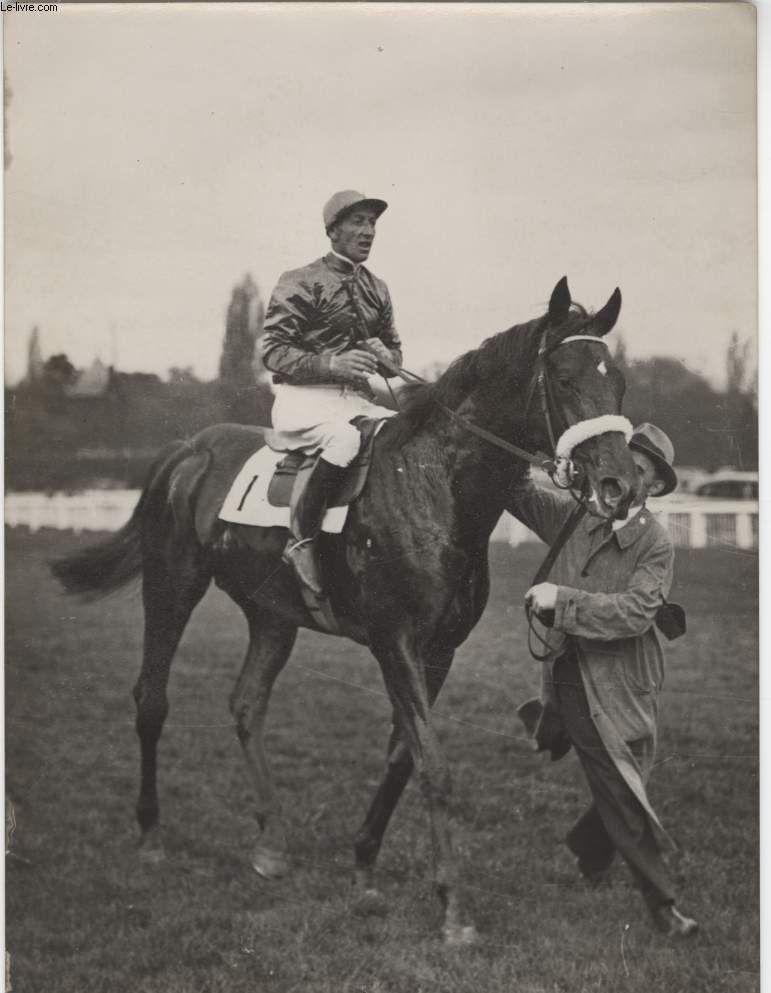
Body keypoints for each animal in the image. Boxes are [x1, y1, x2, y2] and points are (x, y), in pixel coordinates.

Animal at [54, 276, 640, 940]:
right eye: (564, 378)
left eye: (618, 380)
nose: (621, 485)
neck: (430, 485)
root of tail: (187, 449)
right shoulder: (395, 642)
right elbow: (433, 765)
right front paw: (453, 909)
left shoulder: (439, 651)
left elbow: (403, 757)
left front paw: (364, 866)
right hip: (172, 584)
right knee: (152, 699)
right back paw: (151, 832)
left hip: (272, 616)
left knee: (246, 706)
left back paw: (271, 844)